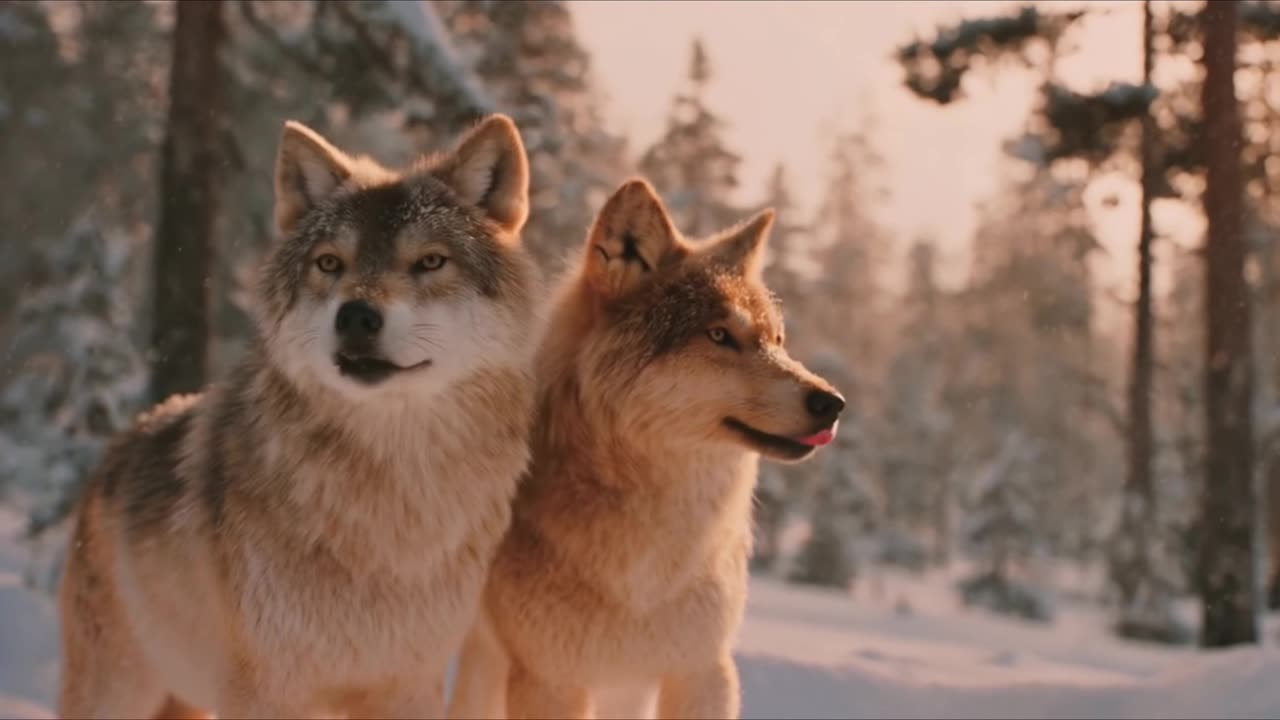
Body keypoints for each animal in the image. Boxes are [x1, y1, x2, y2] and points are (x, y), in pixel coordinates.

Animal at [55, 113, 542, 719]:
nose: (356, 316)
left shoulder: (411, 686)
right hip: (118, 689)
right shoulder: (269, 689)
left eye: (430, 261)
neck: (388, 508)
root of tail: (119, 446)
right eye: (329, 263)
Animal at [446, 178, 846, 720]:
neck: (655, 553)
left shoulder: (703, 669)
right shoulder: (551, 679)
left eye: (778, 340)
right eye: (719, 334)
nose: (832, 403)